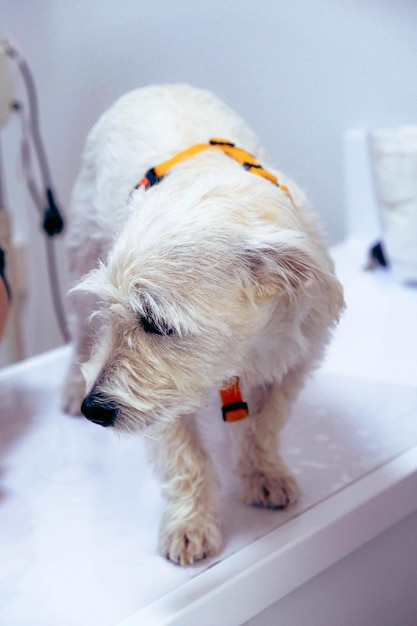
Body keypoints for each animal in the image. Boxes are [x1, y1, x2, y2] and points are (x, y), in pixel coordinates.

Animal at [61, 80, 342, 564]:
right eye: (112, 312)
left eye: (157, 322)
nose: (92, 409)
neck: (242, 352)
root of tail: (154, 85)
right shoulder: (164, 396)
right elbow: (185, 455)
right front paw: (190, 525)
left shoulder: (295, 360)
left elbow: (265, 425)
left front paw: (263, 474)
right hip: (81, 245)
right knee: (78, 332)